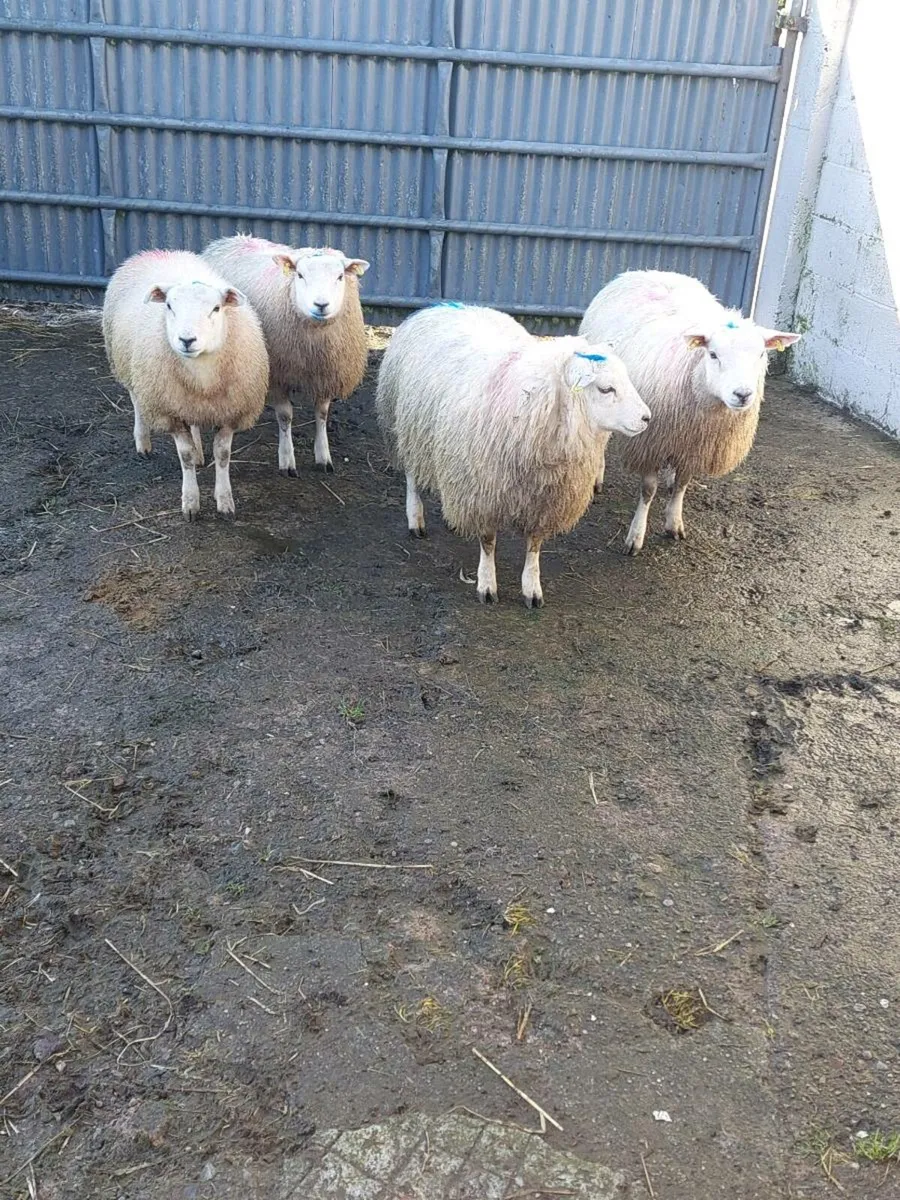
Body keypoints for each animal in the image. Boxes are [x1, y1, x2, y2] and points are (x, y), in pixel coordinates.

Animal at [102, 249, 268, 520]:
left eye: (216, 308)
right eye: (169, 306)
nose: (187, 340)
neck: (202, 375)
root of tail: (157, 252)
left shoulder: (231, 411)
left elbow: (223, 455)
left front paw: (225, 501)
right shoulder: (168, 412)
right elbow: (185, 455)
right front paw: (190, 502)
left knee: (194, 423)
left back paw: (200, 452)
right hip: (129, 367)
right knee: (136, 401)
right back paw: (143, 442)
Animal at [201, 235, 369, 475]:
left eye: (339, 277)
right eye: (300, 275)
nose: (321, 305)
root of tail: (231, 239)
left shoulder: (326, 373)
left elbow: (322, 414)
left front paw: (323, 456)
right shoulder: (278, 375)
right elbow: (285, 416)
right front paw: (287, 459)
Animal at [376, 302, 651, 607]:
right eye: (605, 388)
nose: (647, 418)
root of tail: (437, 306)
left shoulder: (544, 499)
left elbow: (534, 545)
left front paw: (532, 588)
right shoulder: (483, 490)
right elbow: (488, 541)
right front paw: (486, 585)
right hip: (407, 427)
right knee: (412, 477)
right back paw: (415, 519)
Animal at [580, 270, 801, 555]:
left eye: (762, 354)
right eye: (713, 354)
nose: (742, 394)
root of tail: (649, 271)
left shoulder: (695, 445)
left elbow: (683, 483)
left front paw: (674, 521)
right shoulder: (651, 441)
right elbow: (648, 490)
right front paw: (636, 535)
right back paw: (597, 478)